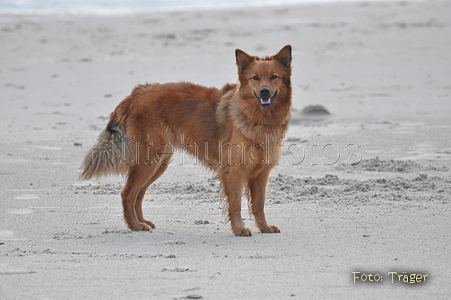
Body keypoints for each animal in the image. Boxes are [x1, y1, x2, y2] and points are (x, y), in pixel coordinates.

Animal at [81, 45, 294, 237]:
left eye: (274, 77)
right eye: (255, 78)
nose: (264, 91)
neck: (259, 118)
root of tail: (136, 93)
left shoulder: (261, 174)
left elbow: (259, 205)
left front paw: (264, 227)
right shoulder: (233, 172)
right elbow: (236, 204)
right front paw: (239, 229)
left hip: (158, 163)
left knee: (138, 194)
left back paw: (142, 222)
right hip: (148, 161)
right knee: (127, 194)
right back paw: (135, 225)